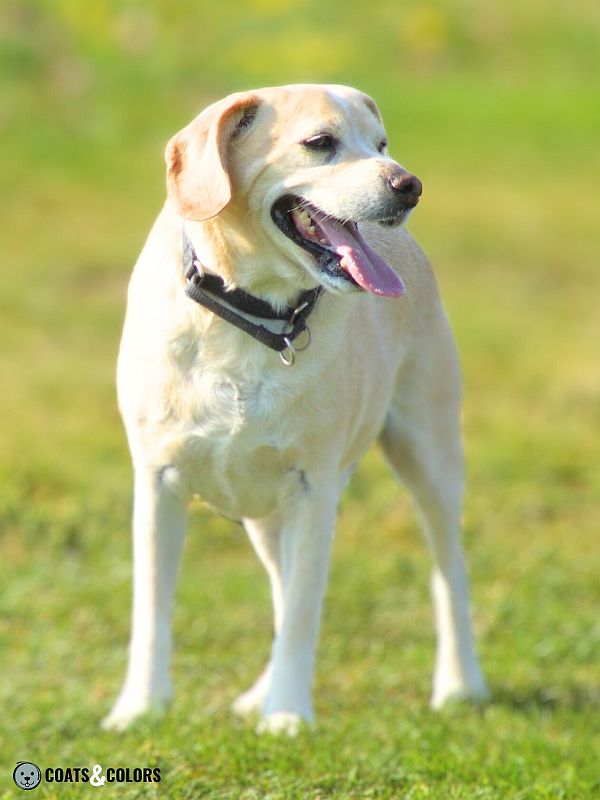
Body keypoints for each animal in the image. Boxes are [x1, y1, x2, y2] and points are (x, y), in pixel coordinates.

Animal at [102, 84, 488, 736]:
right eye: (319, 142)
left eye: (380, 143)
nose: (409, 184)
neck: (253, 316)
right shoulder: (158, 481)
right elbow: (151, 609)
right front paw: (140, 709)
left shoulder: (314, 487)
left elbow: (305, 612)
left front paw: (286, 715)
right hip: (265, 515)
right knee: (283, 588)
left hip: (427, 453)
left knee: (450, 573)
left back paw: (461, 684)